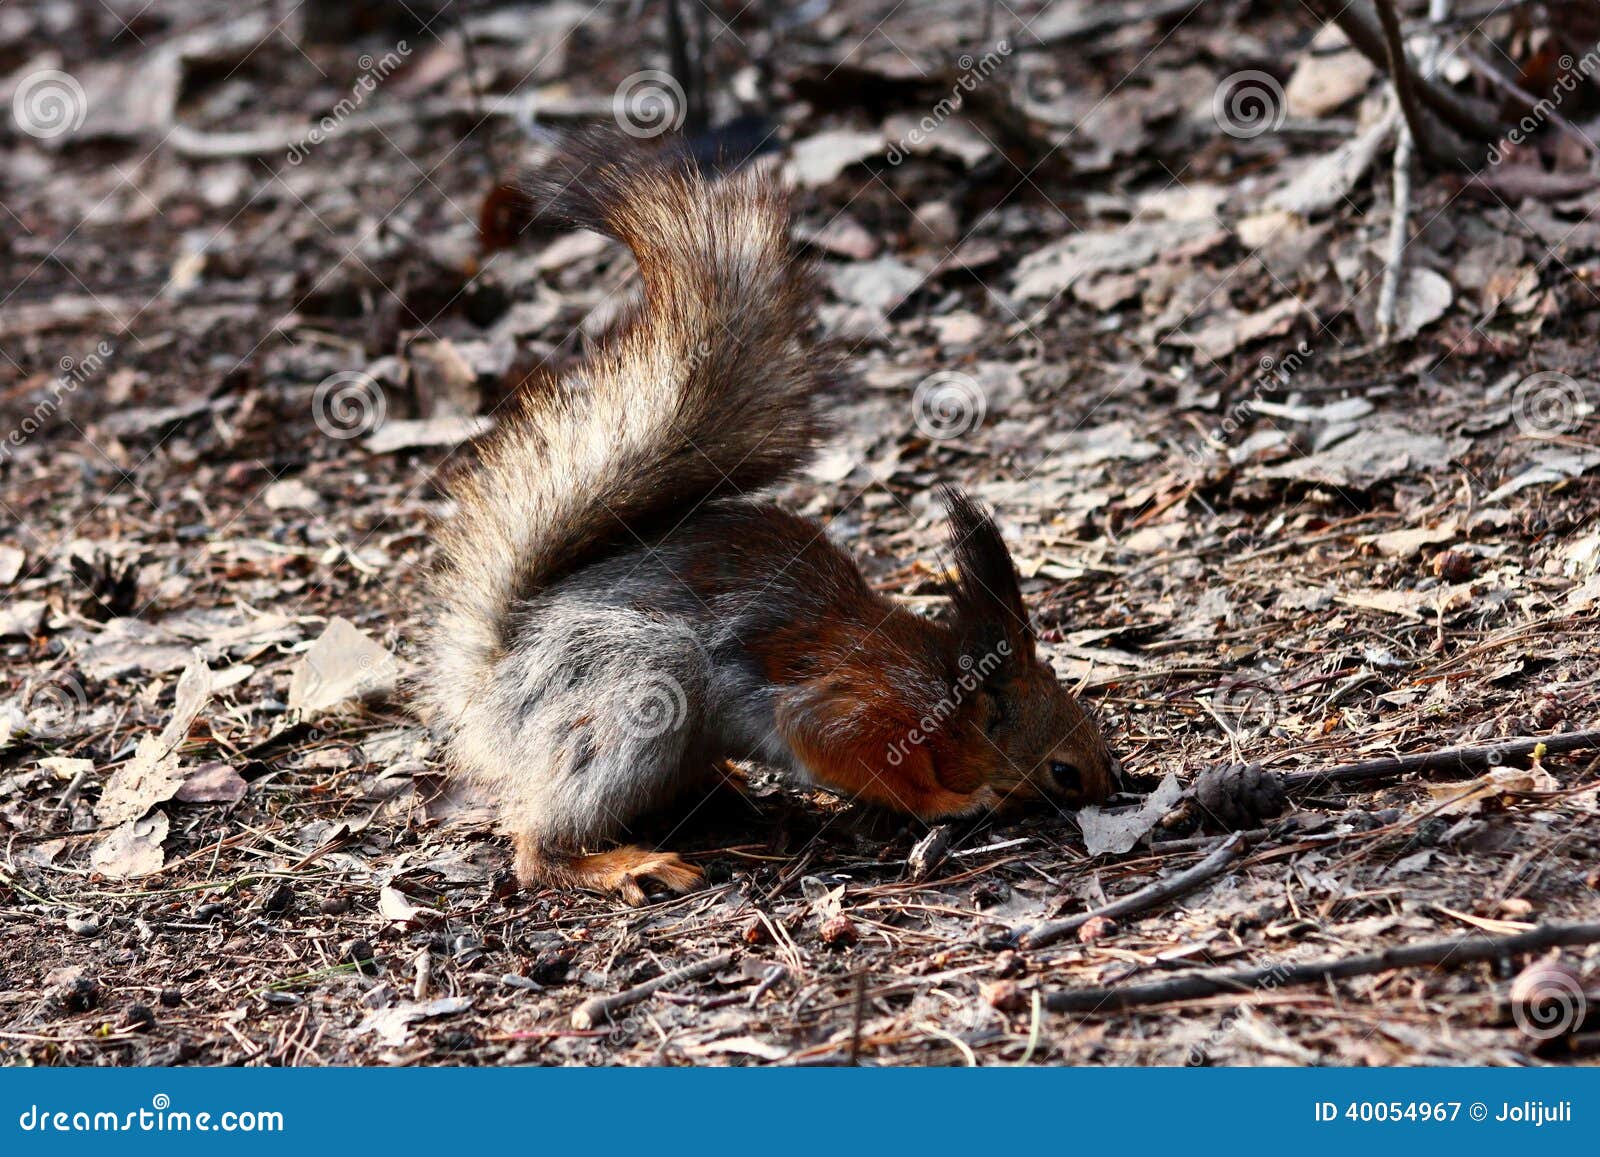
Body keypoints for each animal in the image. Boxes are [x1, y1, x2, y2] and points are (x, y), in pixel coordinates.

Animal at [416, 133, 1122, 905]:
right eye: (1062, 769)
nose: (1113, 787)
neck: (945, 692)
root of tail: (494, 686)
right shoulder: (857, 707)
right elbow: (851, 751)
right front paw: (951, 800)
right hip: (634, 686)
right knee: (536, 843)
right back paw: (622, 862)